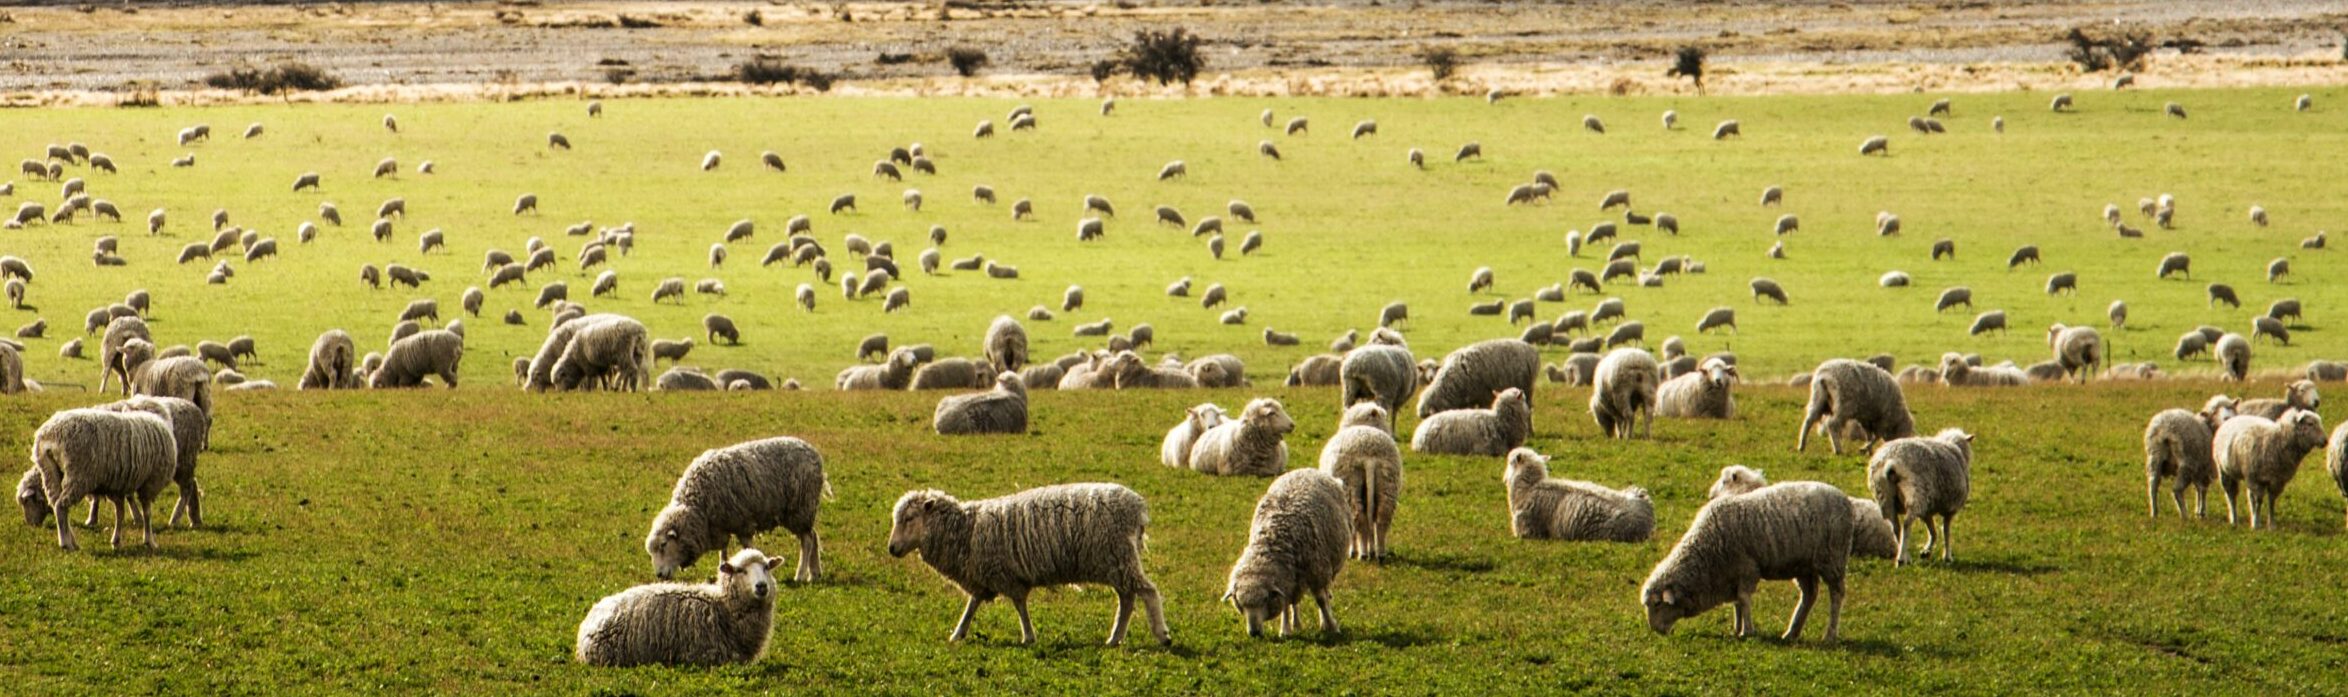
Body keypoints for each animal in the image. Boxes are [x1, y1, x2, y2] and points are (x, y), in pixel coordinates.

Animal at [27, 408, 178, 551]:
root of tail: (50, 433)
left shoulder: (117, 486)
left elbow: (120, 513)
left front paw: (116, 541)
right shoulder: (150, 483)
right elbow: (147, 513)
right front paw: (149, 541)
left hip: (50, 472)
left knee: (55, 503)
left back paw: (73, 541)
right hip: (78, 476)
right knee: (61, 506)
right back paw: (66, 544)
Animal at [887, 483, 1168, 646]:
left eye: (909, 518)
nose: (891, 549)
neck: (966, 530)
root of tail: (1137, 507)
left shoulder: (1005, 575)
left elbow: (1019, 605)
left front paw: (1028, 636)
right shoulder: (983, 576)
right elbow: (972, 605)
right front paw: (958, 633)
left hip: (1118, 556)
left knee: (1147, 591)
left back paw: (1162, 635)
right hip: (1115, 562)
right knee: (1127, 599)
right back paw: (1115, 638)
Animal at [1222, 469, 1352, 639]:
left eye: (1265, 599)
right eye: (1239, 602)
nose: (1254, 633)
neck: (1273, 538)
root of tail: (1305, 469)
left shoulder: (1317, 572)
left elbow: (1321, 601)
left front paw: (1332, 626)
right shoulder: (1284, 581)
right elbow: (1284, 603)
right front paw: (1285, 630)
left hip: (1327, 568)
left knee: (1326, 594)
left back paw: (1324, 621)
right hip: (1296, 577)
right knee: (1294, 602)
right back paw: (1296, 623)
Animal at [1640, 480, 1852, 641]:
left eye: (1657, 604)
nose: (1654, 630)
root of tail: (1844, 499)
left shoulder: (1747, 568)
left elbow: (1743, 599)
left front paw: (1747, 631)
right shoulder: (1732, 573)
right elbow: (1737, 603)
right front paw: (1737, 627)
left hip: (1832, 558)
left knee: (1837, 595)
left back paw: (1830, 635)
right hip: (1804, 566)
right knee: (1809, 595)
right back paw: (1792, 633)